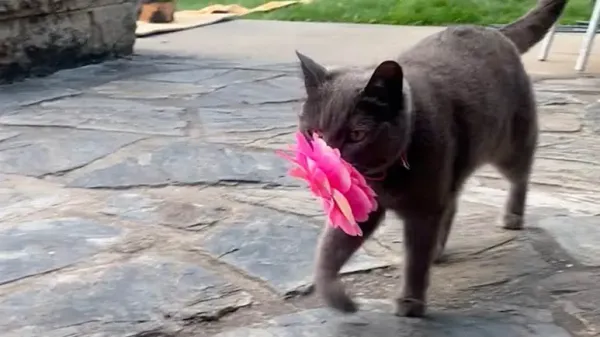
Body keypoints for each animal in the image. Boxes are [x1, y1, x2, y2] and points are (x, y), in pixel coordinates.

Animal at [298, 0, 568, 316]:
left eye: (356, 135)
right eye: (314, 133)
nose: (326, 164)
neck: (382, 180)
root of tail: (494, 31)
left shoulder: (423, 209)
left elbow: (415, 258)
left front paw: (411, 303)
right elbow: (330, 251)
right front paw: (339, 300)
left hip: (509, 143)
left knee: (520, 174)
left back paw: (512, 216)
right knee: (452, 203)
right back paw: (438, 251)